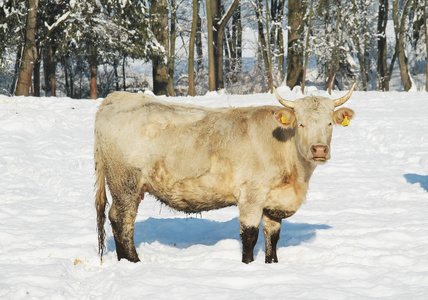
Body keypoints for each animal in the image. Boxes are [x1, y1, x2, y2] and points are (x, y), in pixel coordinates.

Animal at [95, 83, 356, 264]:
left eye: (329, 123)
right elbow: (250, 235)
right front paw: (248, 265)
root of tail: (116, 98)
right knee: (122, 220)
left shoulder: (273, 200)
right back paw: (132, 261)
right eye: (300, 123)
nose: (319, 149)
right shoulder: (251, 195)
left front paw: (272, 264)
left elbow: (273, 236)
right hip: (125, 183)